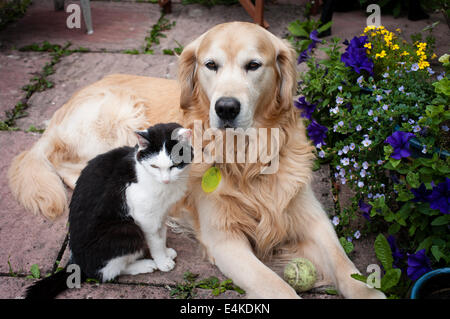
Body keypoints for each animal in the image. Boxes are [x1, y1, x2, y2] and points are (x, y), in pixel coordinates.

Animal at [25, 123, 192, 300]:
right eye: (154, 166)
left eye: (174, 166)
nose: (165, 180)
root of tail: (77, 262)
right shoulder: (145, 216)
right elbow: (156, 240)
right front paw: (162, 261)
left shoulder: (161, 212)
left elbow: (162, 233)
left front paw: (167, 252)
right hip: (128, 230)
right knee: (106, 272)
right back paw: (145, 265)